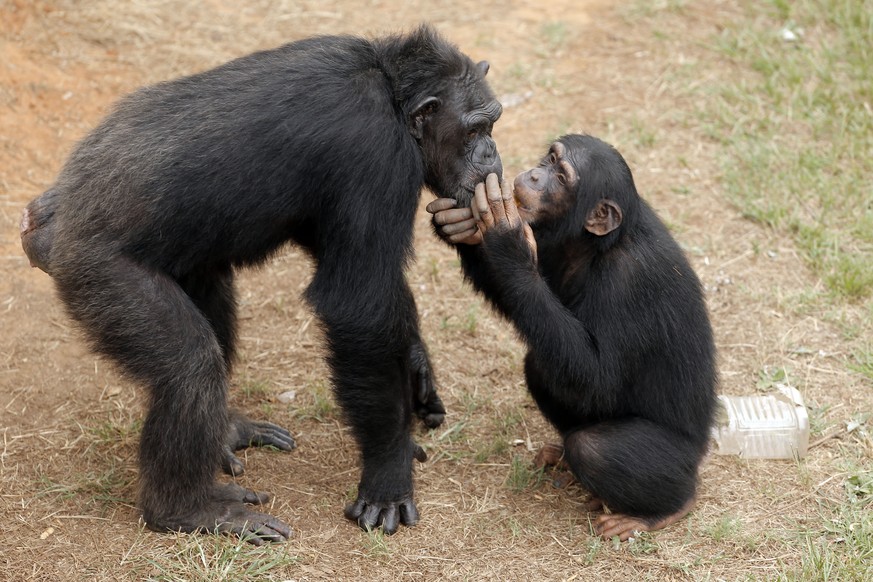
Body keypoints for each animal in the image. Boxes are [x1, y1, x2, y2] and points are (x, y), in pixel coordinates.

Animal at [22, 26, 504, 548]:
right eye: (474, 130)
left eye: (492, 124)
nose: (492, 153)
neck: (393, 94)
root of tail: (40, 220)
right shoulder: (378, 154)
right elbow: (357, 302)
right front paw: (387, 475)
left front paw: (416, 369)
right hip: (98, 273)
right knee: (188, 365)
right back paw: (188, 509)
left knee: (211, 301)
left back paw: (228, 432)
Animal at [426, 135, 720, 540]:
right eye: (550, 159)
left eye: (562, 177)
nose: (536, 174)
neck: (597, 245)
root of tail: (702, 449)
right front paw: (461, 227)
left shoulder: (629, 282)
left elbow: (599, 378)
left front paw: (507, 242)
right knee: (542, 365)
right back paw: (563, 457)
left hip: (679, 460)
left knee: (593, 447)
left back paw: (664, 509)